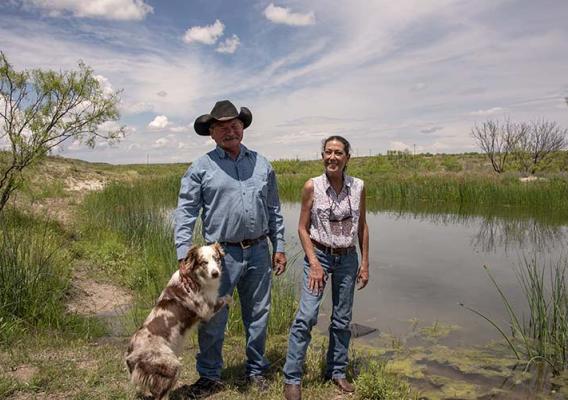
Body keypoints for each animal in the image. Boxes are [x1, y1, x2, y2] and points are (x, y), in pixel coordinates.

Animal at [125, 242, 230, 398]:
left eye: (216, 258)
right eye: (203, 262)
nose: (215, 273)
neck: (195, 278)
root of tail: (131, 355)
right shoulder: (207, 310)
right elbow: (226, 298)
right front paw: (231, 300)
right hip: (172, 365)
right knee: (160, 395)